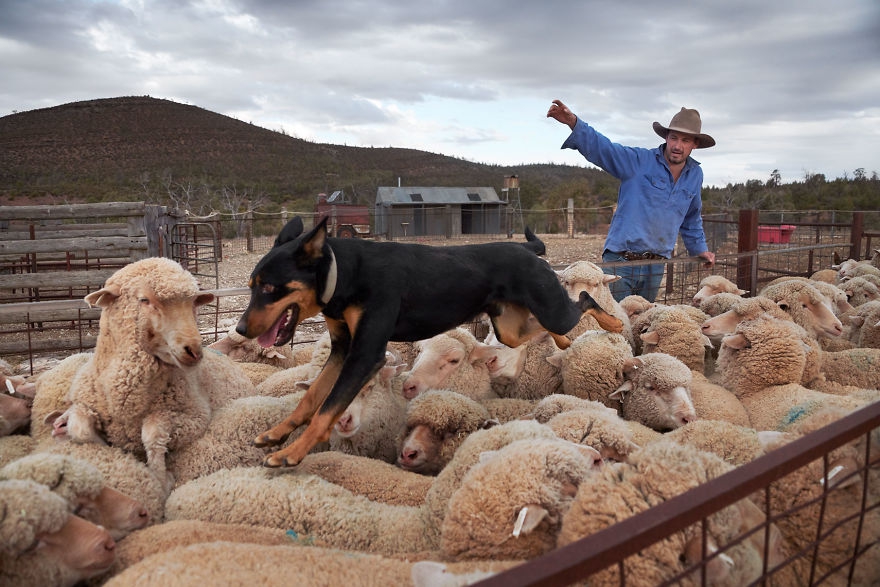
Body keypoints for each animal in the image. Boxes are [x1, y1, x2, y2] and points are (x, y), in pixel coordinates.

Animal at [42, 260, 254, 494]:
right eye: (144, 300)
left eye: (193, 303)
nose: (194, 351)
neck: (127, 401)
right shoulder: (87, 404)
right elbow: (80, 428)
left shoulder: (195, 418)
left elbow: (152, 431)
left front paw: (161, 477)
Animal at [237, 216, 624, 468]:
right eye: (252, 285)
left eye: (270, 287)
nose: (240, 328)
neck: (342, 273)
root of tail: (525, 248)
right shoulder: (343, 350)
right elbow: (311, 398)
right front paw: (277, 434)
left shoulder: (365, 355)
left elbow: (327, 408)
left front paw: (292, 452)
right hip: (509, 327)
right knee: (544, 327)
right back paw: (563, 342)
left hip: (548, 308)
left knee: (584, 300)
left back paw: (614, 322)